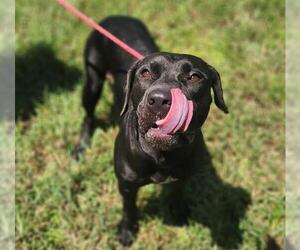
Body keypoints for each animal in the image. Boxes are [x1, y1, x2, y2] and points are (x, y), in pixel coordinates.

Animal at [72, 16, 227, 246]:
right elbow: (129, 210)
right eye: (145, 72)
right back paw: (81, 147)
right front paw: (127, 231)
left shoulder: (184, 176)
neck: (161, 154)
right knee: (88, 115)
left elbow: (177, 195)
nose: (160, 99)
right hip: (93, 79)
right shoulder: (127, 185)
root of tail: (115, 16)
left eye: (194, 77)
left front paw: (178, 214)